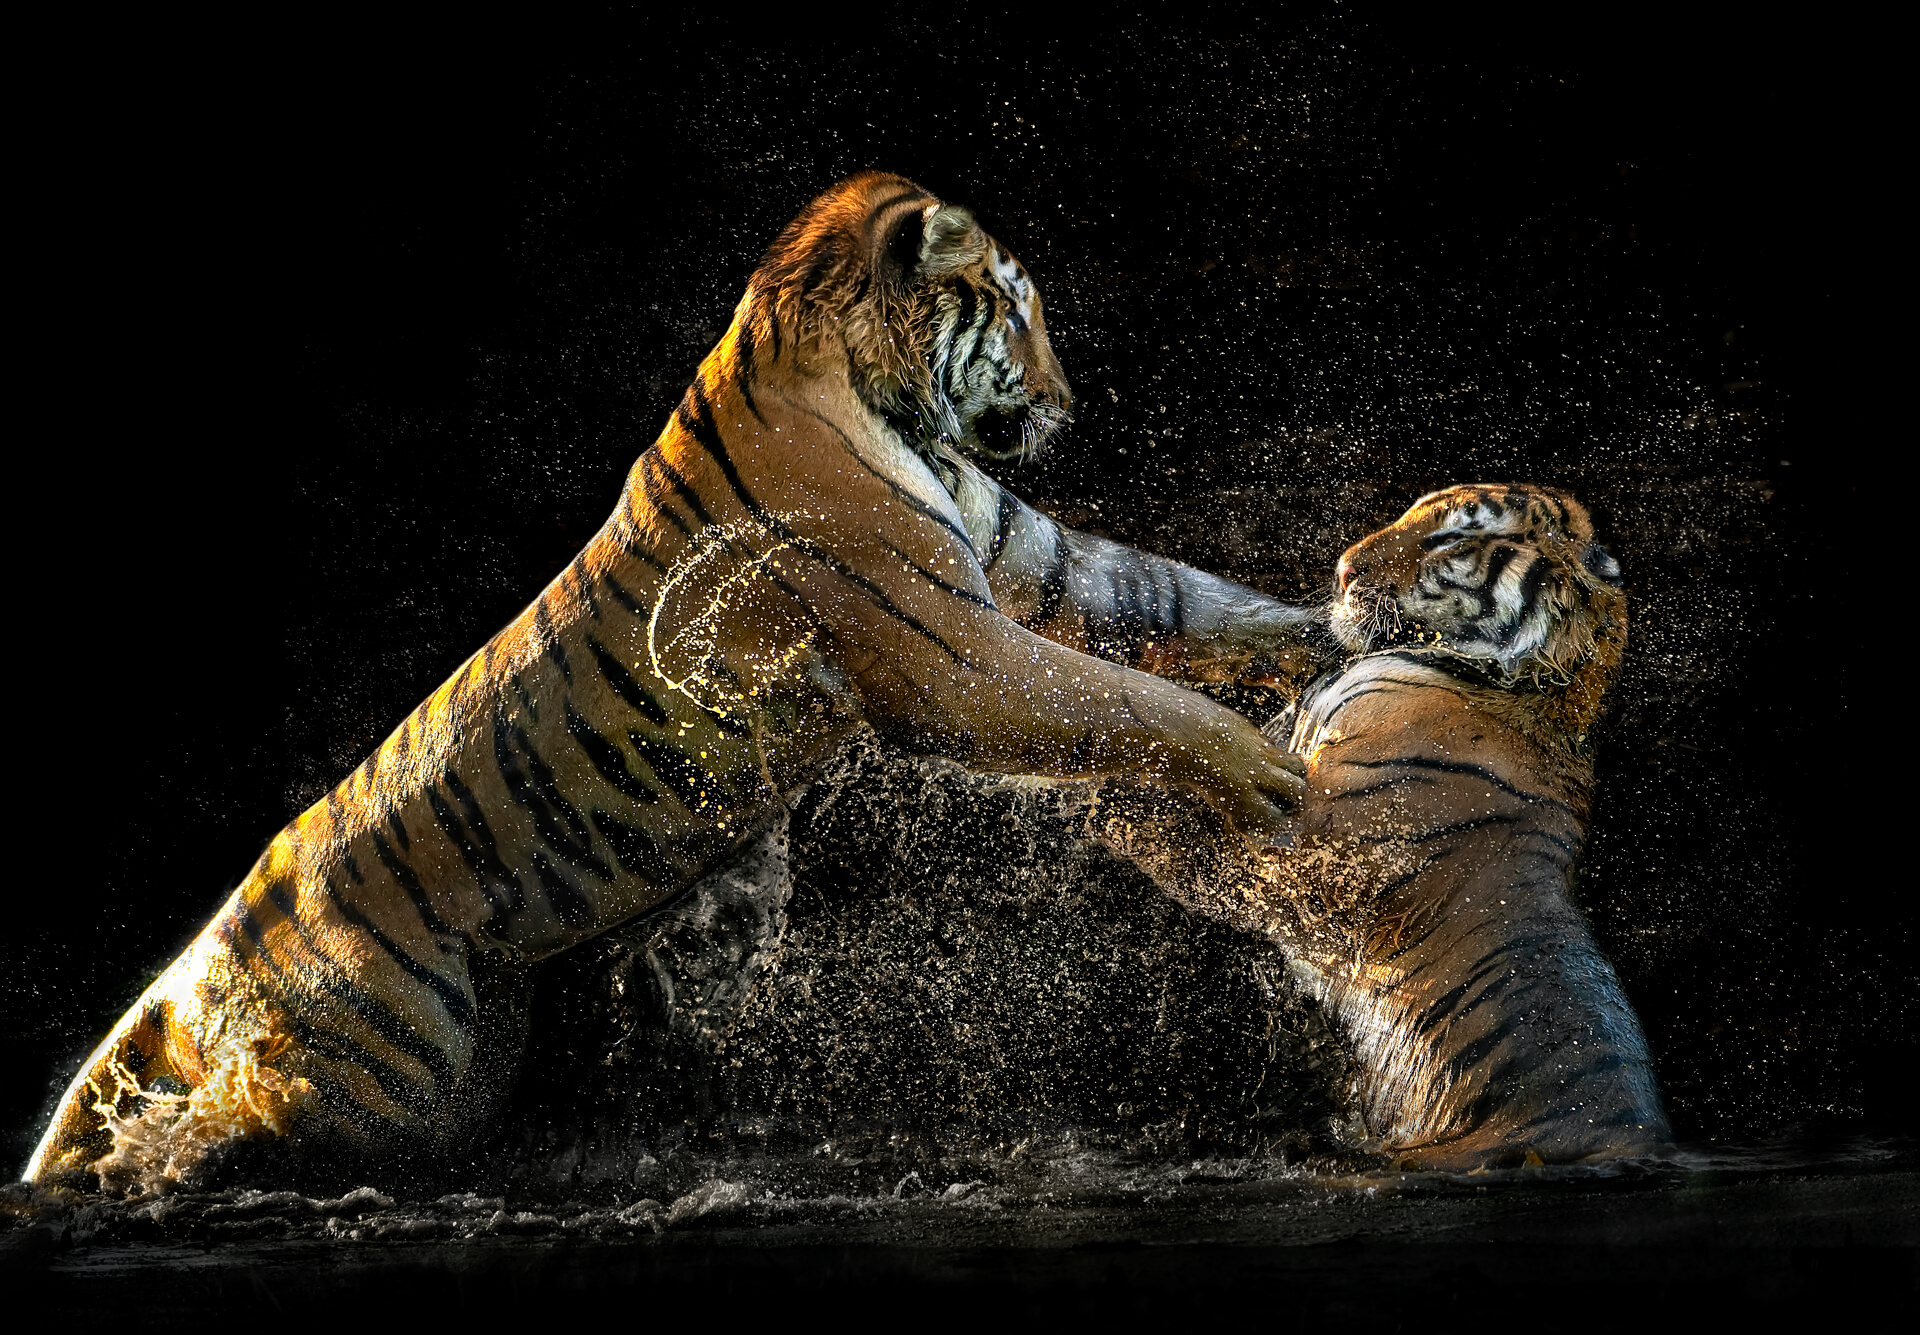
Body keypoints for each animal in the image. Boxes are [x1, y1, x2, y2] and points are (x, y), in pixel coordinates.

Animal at [25, 171, 1334, 1191]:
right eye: (1018, 308)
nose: (1066, 402)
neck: (879, 391)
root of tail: (210, 946)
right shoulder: (954, 656)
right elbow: (1124, 697)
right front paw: (1267, 771)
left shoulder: (1034, 561)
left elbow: (1181, 598)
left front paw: (1343, 615)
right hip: (377, 1079)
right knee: (219, 1130)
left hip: (455, 1070)